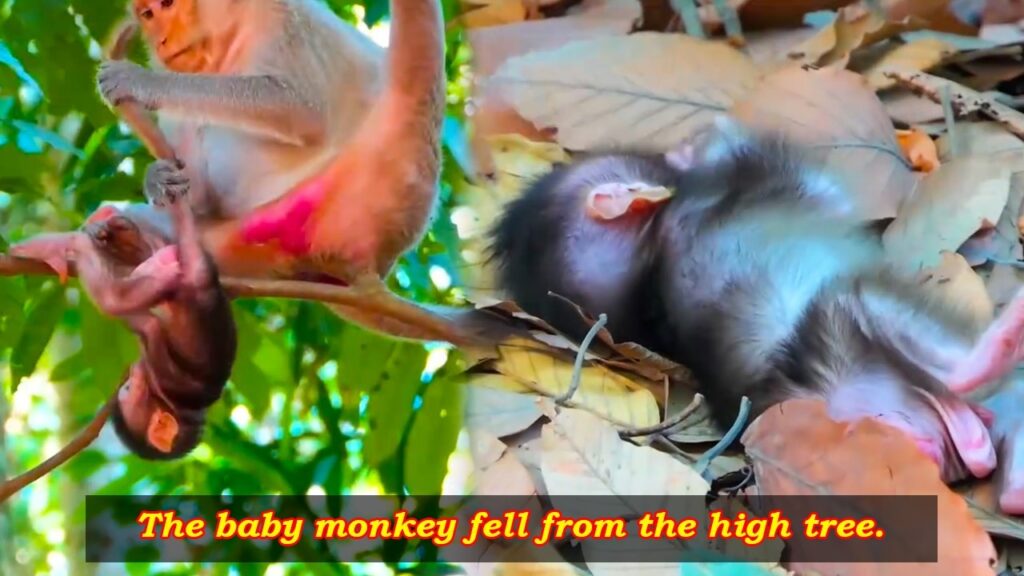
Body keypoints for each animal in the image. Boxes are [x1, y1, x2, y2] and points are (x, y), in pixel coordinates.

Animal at [11, 166, 237, 460]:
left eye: (129, 390)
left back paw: (70, 243)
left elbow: (132, 313)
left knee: (116, 297)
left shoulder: (159, 367)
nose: (129, 380)